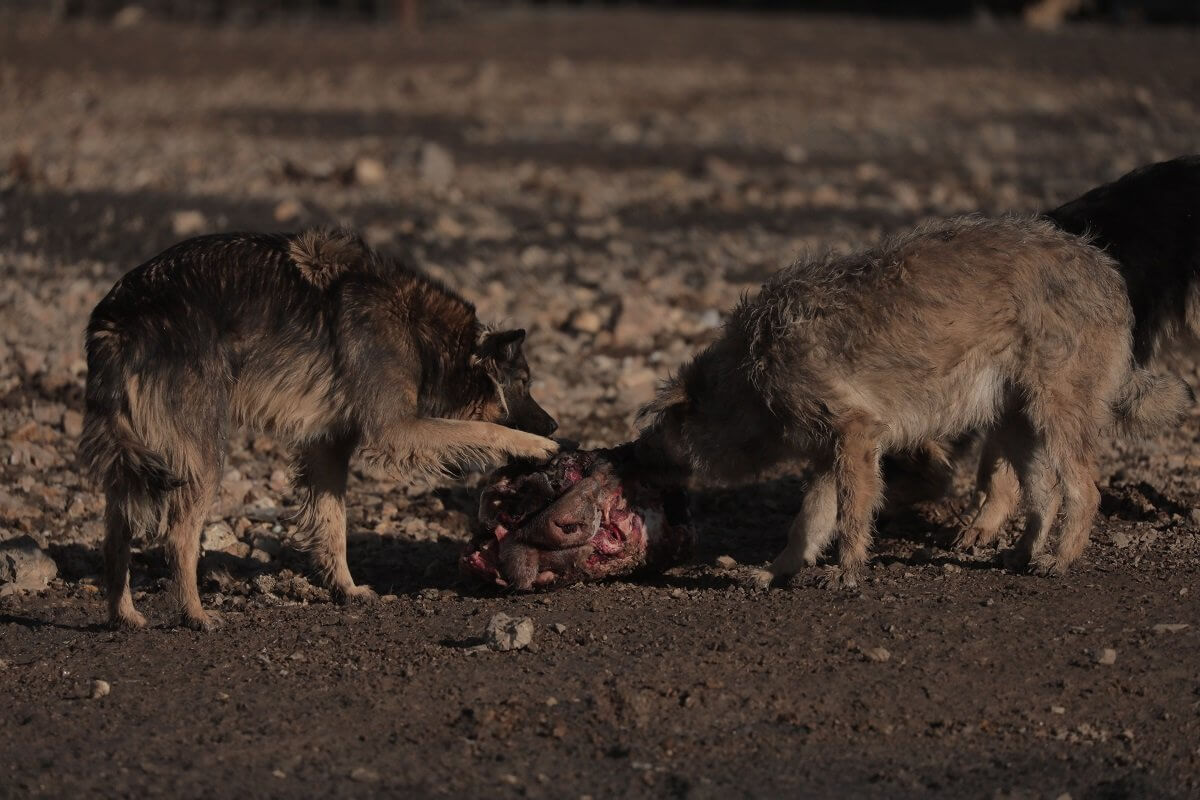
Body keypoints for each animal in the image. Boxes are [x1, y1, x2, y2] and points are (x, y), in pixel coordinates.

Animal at [82, 230, 559, 633]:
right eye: (523, 383)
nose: (555, 423)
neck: (420, 330)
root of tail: (116, 316)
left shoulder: (327, 447)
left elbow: (332, 524)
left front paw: (345, 588)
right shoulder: (395, 430)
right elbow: (482, 429)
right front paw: (536, 446)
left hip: (138, 460)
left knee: (114, 536)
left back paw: (124, 615)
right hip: (202, 457)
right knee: (179, 537)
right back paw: (194, 615)